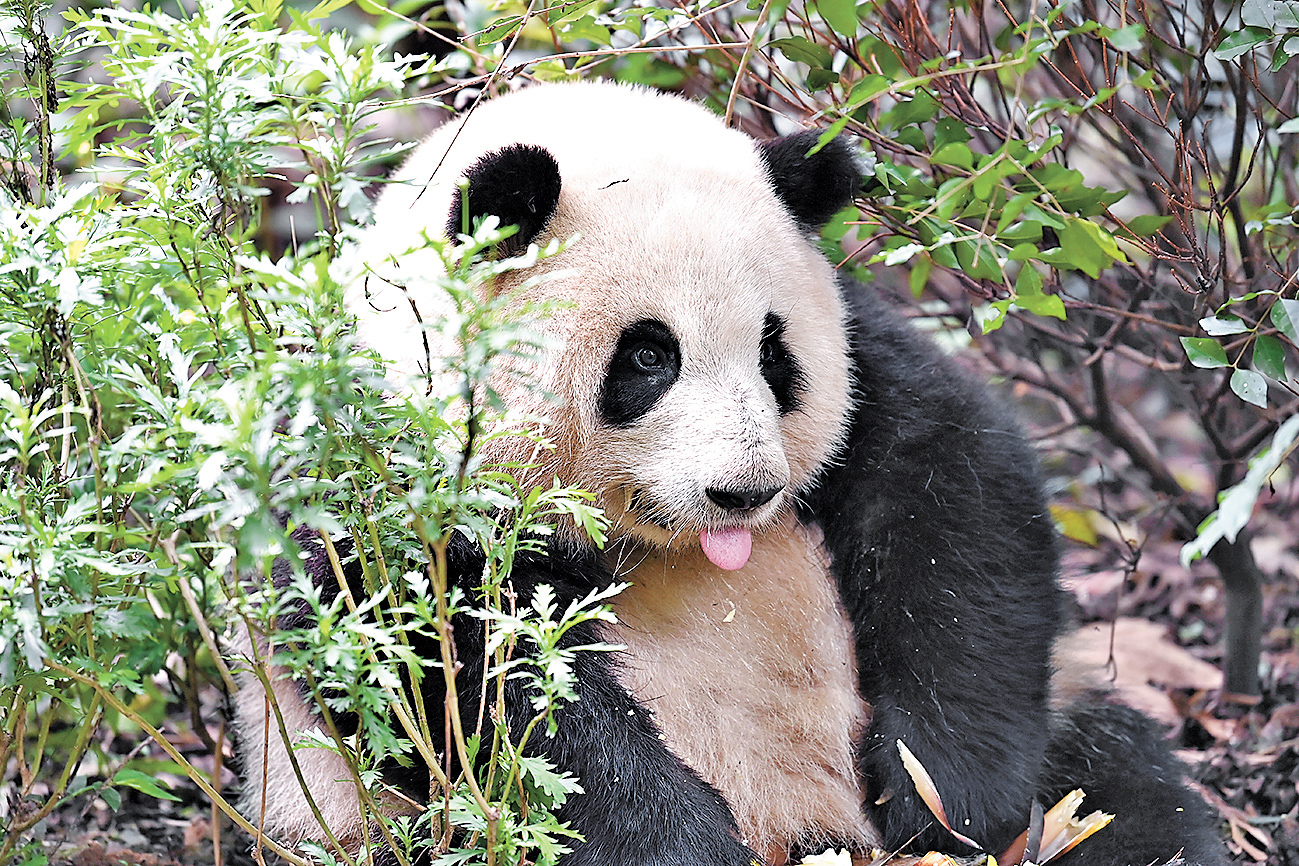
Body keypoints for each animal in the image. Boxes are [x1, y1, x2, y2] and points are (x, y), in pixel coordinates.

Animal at [233, 83, 1226, 866]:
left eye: (772, 354)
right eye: (647, 356)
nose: (744, 494)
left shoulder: (863, 351)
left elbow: (953, 489)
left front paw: (940, 795)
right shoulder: (369, 453)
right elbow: (443, 657)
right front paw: (677, 841)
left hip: (1061, 726)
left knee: (1119, 786)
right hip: (361, 816)